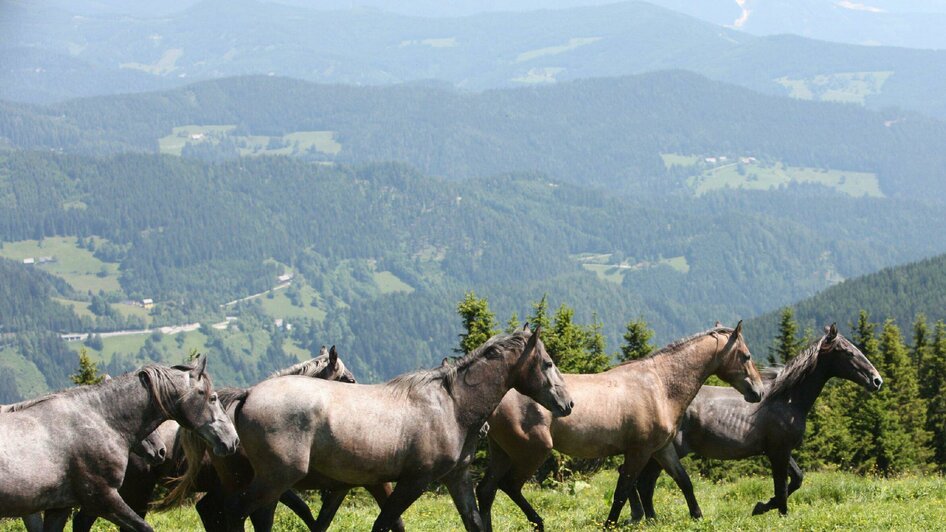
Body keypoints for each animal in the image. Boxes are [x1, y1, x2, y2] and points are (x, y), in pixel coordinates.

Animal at [0, 356, 238, 532]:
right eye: (213, 398)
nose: (232, 440)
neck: (99, 419)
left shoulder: (59, 508)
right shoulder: (103, 498)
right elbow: (144, 528)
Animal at [217, 326, 572, 528]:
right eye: (548, 363)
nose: (567, 404)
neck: (453, 406)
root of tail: (249, 394)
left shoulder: (456, 477)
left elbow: (473, 522)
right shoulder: (414, 481)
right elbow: (384, 524)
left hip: (272, 481)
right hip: (276, 478)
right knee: (233, 513)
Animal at [476, 320, 764, 528]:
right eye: (746, 356)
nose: (758, 392)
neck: (660, 385)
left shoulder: (662, 449)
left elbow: (684, 481)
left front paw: (698, 516)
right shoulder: (639, 452)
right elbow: (623, 490)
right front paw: (610, 524)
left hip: (502, 453)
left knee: (486, 490)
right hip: (532, 452)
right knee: (509, 486)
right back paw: (538, 522)